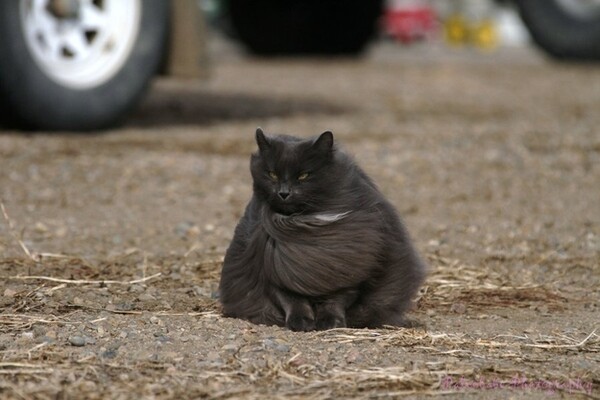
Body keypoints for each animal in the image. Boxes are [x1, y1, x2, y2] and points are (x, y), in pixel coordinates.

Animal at [217, 128, 426, 332]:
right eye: (272, 174)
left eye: (303, 175)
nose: (284, 193)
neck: (303, 224)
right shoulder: (274, 272)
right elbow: (292, 300)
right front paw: (301, 322)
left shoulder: (349, 273)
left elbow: (335, 301)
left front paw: (330, 322)